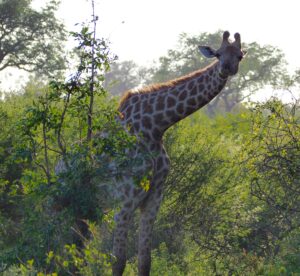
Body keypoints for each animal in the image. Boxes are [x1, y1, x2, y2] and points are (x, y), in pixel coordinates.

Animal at [111, 31, 245, 274]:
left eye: (239, 56)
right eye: (218, 54)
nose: (226, 68)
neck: (155, 126)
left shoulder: (153, 198)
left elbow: (145, 261)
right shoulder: (125, 199)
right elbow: (118, 261)